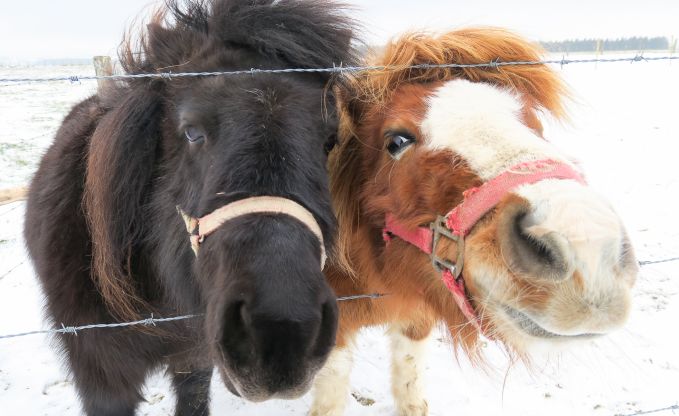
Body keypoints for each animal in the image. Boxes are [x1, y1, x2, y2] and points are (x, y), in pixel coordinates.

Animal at [310, 27, 640, 414]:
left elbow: (409, 371)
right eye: (397, 140)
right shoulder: (335, 327)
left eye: (535, 124)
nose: (587, 247)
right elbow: (332, 394)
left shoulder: (419, 312)